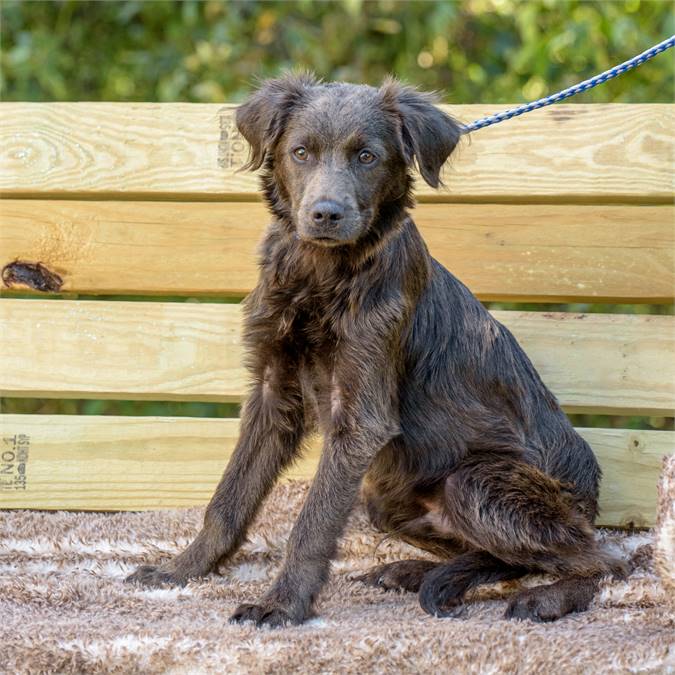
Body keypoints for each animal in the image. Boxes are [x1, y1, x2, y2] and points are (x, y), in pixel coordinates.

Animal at [125, 75, 624, 628]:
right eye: (300, 152)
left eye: (367, 157)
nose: (326, 214)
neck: (321, 274)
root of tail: (591, 497)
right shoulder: (273, 394)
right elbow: (229, 498)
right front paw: (183, 570)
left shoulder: (361, 414)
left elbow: (313, 522)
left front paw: (284, 603)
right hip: (384, 498)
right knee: (500, 555)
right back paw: (413, 572)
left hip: (475, 484)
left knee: (606, 560)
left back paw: (550, 597)